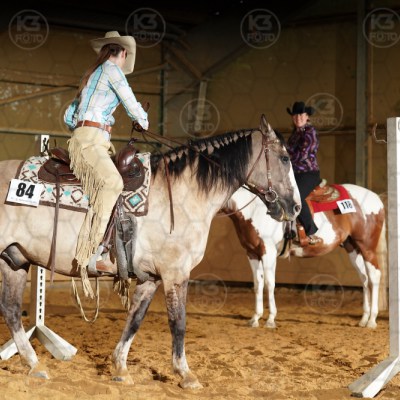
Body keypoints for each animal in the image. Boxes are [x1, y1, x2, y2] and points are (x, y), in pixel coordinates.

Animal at [0, 115, 301, 389]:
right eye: (285, 158)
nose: (295, 207)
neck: (183, 193)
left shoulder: (151, 278)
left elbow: (135, 318)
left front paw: (120, 367)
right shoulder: (175, 273)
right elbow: (178, 321)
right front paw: (185, 374)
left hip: (14, 260)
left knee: (11, 310)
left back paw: (34, 364)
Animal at [224, 184, 387, 329]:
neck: (255, 210)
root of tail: (376, 198)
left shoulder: (268, 252)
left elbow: (270, 284)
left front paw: (270, 320)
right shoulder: (252, 253)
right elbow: (258, 284)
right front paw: (255, 319)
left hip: (367, 247)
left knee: (374, 277)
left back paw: (372, 320)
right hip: (353, 248)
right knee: (364, 278)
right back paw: (364, 319)